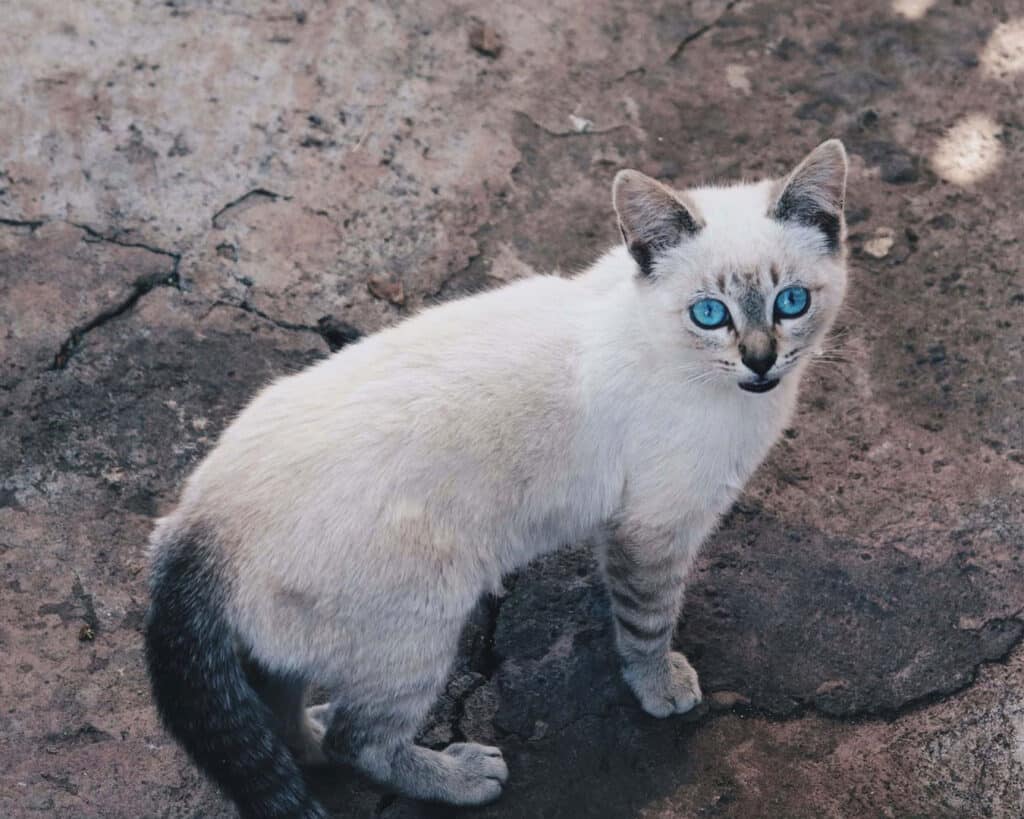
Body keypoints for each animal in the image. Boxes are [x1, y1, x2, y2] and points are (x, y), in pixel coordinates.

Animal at [144, 137, 847, 814]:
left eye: (791, 303)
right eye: (710, 315)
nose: (760, 360)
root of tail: (196, 521)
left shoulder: (624, 525)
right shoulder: (652, 529)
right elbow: (647, 622)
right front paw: (661, 689)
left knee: (279, 707)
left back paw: (311, 739)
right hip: (422, 624)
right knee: (360, 740)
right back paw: (458, 776)